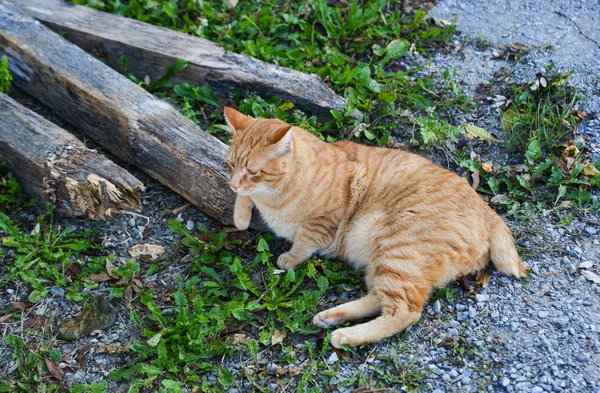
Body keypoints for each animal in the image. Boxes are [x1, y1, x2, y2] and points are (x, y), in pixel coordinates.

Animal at [223, 106, 528, 346]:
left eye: (253, 171)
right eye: (230, 165)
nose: (233, 183)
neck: (275, 195)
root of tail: (488, 211)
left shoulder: (324, 221)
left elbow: (303, 242)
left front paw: (290, 257)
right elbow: (246, 199)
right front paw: (240, 215)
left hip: (395, 249)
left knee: (404, 311)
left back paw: (346, 335)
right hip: (383, 260)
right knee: (379, 299)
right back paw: (331, 318)